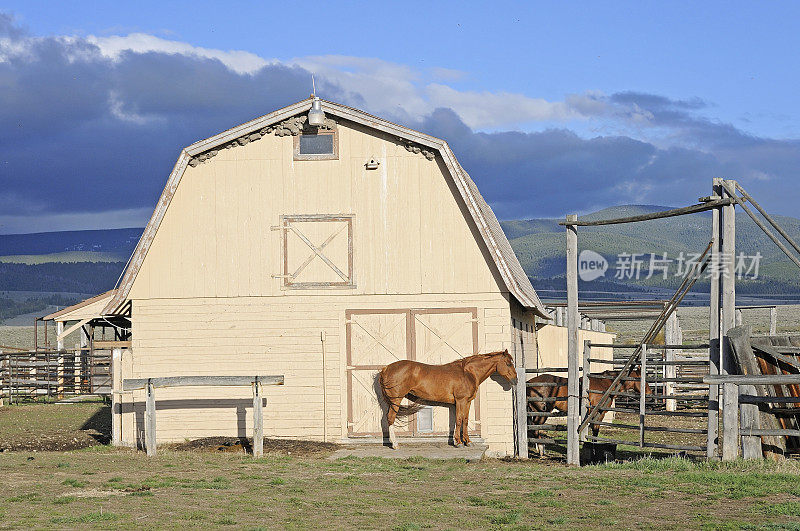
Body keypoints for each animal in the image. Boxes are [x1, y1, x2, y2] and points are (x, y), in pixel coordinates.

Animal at [378, 352, 516, 450]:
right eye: (508, 363)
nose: (516, 380)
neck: (468, 373)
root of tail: (386, 368)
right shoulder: (460, 401)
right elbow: (459, 420)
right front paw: (458, 442)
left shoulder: (468, 402)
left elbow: (465, 420)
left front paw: (468, 441)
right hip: (396, 399)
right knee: (390, 418)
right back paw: (395, 444)